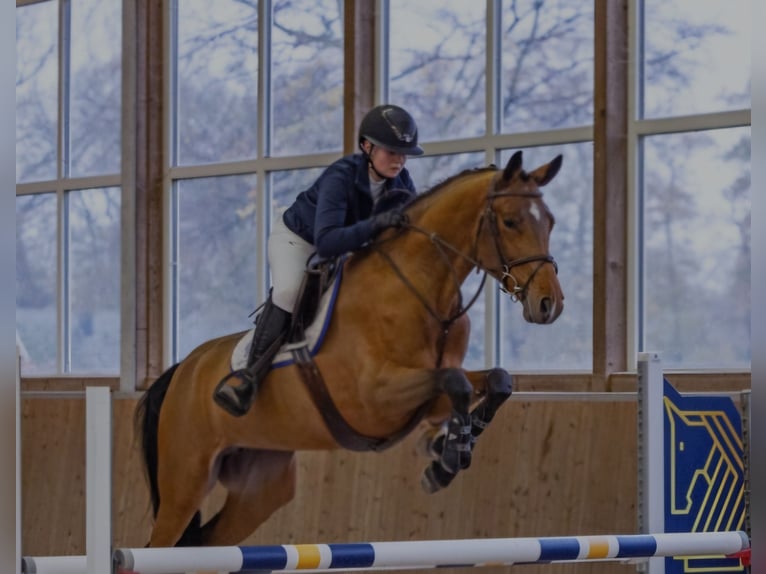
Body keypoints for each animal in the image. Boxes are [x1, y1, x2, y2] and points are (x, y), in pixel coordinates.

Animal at [135, 150, 565, 547]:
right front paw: (445, 459)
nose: (549, 304)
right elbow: (454, 382)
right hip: (186, 481)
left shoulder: (430, 388)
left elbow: (495, 380)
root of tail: (182, 370)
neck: (423, 289)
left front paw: (450, 446)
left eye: (550, 221)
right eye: (510, 221)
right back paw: (237, 391)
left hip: (262, 486)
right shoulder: (374, 399)